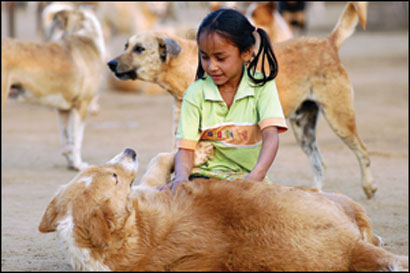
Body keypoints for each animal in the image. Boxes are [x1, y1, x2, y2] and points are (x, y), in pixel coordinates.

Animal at [2, 7, 105, 170]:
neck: (85, 35)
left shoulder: (63, 110)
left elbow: (66, 141)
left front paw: (71, 164)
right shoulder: (82, 106)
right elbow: (77, 141)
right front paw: (79, 165)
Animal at [38, 149, 406, 270]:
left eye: (101, 169)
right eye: (114, 177)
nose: (129, 150)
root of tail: (350, 249)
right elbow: (161, 160)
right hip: (330, 198)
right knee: (366, 229)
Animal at [106, 2, 378, 198]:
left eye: (139, 49)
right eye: (126, 45)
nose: (109, 64)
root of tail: (327, 43)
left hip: (339, 118)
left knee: (363, 151)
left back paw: (368, 187)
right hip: (304, 128)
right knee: (320, 163)